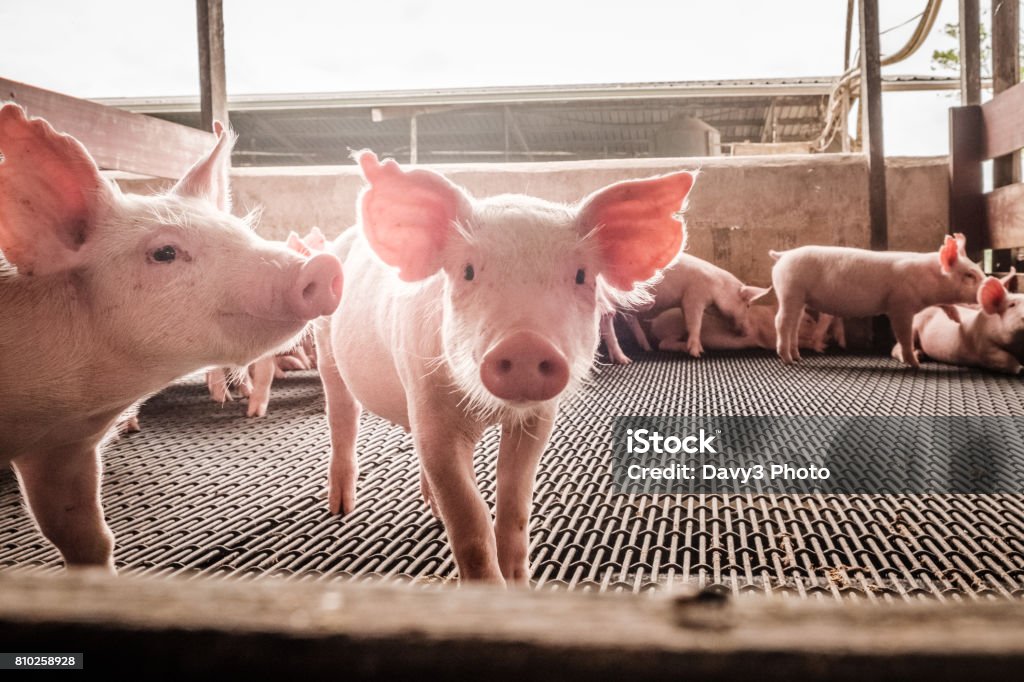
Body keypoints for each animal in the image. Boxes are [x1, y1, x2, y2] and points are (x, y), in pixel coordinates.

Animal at [317, 151, 696, 581]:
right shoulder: (429, 404)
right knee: (342, 415)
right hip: (325, 345)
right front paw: (488, 587)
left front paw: (519, 581)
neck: (491, 412)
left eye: (581, 275)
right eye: (467, 270)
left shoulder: (537, 418)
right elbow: (469, 518)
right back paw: (341, 507)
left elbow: (514, 502)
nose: (525, 343)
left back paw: (430, 509)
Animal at [770, 233, 978, 364]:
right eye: (969, 275)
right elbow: (903, 334)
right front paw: (915, 364)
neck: (929, 277)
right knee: (780, 321)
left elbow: (945, 304)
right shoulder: (900, 304)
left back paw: (797, 357)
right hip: (790, 290)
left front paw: (957, 319)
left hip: (799, 298)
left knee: (794, 324)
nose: (986, 285)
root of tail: (784, 255)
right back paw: (788, 360)